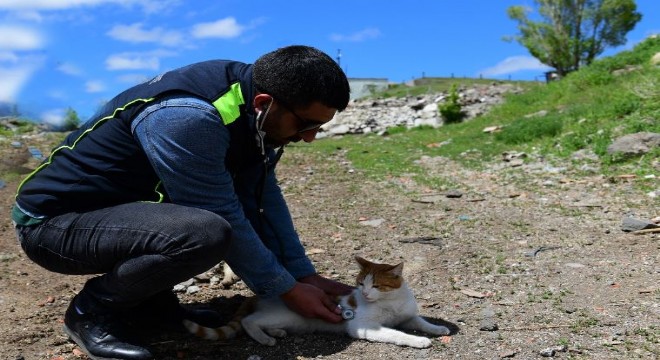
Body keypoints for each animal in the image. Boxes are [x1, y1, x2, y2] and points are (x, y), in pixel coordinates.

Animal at [184, 256, 448, 348]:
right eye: (360, 283)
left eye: (376, 286)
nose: (364, 294)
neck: (391, 301)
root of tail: (258, 294)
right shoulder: (363, 326)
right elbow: (396, 334)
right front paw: (418, 340)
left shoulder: (408, 316)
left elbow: (421, 322)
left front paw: (438, 329)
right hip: (282, 314)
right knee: (249, 321)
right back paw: (265, 338)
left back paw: (276, 333)